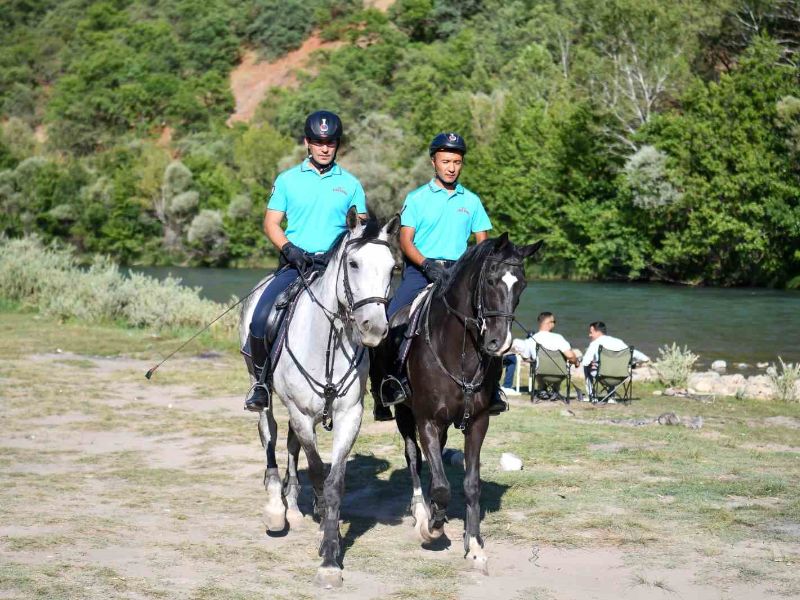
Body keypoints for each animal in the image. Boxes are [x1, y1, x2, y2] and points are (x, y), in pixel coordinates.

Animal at [239, 209, 398, 588]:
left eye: (392, 268)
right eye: (353, 263)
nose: (374, 328)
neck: (328, 339)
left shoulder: (348, 416)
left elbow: (334, 481)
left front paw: (330, 551)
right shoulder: (299, 411)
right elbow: (315, 469)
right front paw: (325, 536)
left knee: (291, 446)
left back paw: (296, 508)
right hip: (261, 389)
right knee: (270, 437)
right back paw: (276, 509)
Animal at [370, 233, 544, 572]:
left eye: (522, 285)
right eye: (490, 280)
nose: (498, 343)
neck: (459, 350)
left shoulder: (477, 422)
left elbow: (470, 484)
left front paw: (474, 545)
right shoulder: (426, 420)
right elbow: (439, 485)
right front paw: (432, 527)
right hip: (403, 412)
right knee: (413, 457)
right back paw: (420, 511)